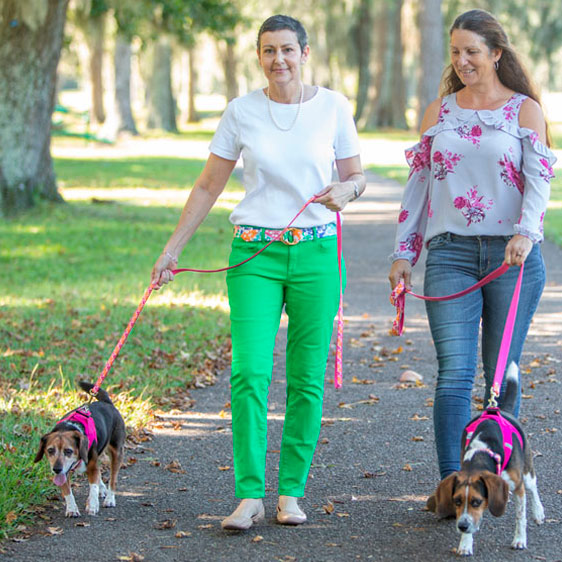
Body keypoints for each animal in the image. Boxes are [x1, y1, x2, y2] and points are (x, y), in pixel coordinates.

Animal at [34, 380, 124, 516]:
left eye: (68, 451)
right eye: (50, 450)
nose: (56, 469)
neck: (68, 428)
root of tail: (106, 402)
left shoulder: (91, 466)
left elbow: (93, 486)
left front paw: (92, 505)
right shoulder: (64, 473)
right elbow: (67, 491)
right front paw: (71, 509)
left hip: (116, 451)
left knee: (113, 479)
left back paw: (109, 499)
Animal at [428, 360, 544, 552]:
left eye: (476, 501)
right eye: (457, 501)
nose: (462, 526)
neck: (481, 453)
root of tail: (501, 410)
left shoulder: (518, 487)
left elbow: (520, 517)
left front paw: (520, 539)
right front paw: (465, 543)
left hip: (527, 473)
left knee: (533, 488)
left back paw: (539, 512)